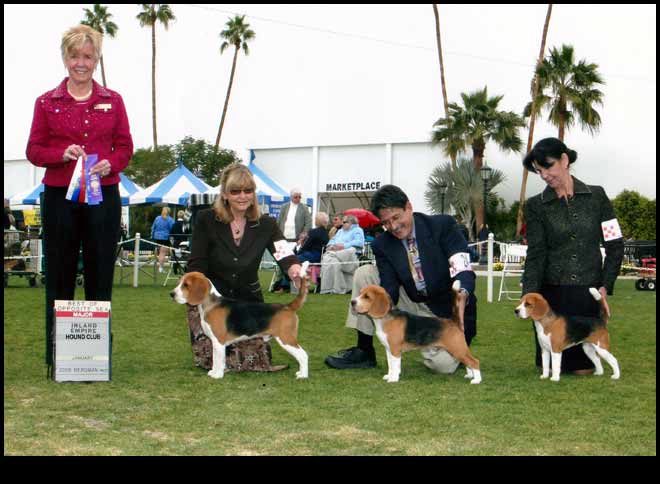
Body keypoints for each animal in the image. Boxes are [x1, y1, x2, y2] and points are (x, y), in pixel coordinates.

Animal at [171, 262, 310, 380]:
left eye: (186, 285)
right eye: (179, 282)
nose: (171, 294)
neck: (210, 304)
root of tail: (288, 306)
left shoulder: (218, 342)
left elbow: (218, 360)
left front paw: (217, 375)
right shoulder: (215, 342)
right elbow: (216, 359)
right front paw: (214, 372)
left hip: (286, 338)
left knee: (303, 355)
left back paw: (303, 375)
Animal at [350, 281, 481, 384]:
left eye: (367, 296)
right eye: (360, 293)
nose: (352, 302)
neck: (385, 318)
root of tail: (453, 321)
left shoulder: (395, 349)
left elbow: (395, 365)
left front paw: (393, 379)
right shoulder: (388, 349)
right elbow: (390, 365)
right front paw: (389, 375)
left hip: (457, 348)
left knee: (474, 361)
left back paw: (476, 380)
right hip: (456, 351)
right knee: (468, 361)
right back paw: (470, 375)